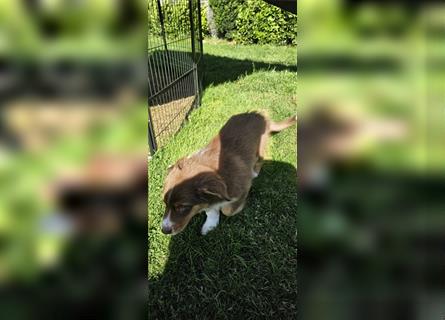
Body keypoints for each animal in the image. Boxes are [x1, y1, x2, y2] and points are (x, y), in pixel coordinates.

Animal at [160, 112, 294, 235]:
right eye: (165, 203)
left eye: (182, 207)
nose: (164, 231)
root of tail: (259, 114)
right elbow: (210, 210)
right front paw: (211, 224)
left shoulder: (242, 189)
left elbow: (228, 210)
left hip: (260, 148)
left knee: (259, 160)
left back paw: (254, 172)